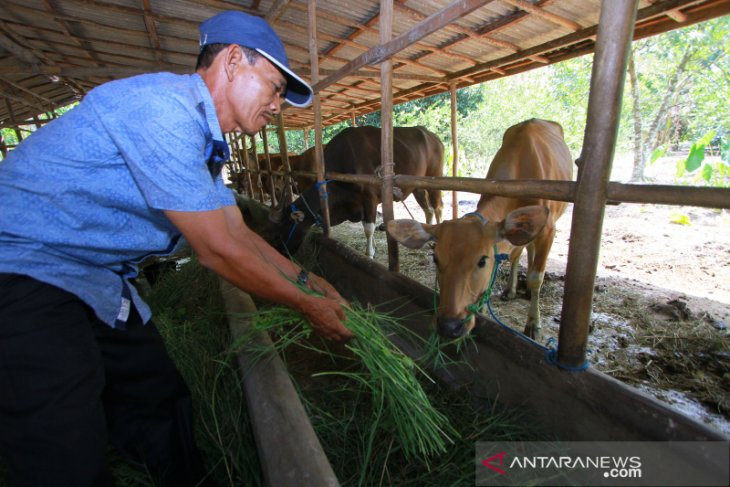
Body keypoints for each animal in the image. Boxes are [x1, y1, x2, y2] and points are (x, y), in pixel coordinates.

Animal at [270, 126, 444, 260]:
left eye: (280, 232)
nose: (278, 250)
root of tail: (432, 135)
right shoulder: (358, 204)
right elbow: (365, 224)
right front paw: (373, 249)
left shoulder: (369, 198)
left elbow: (368, 228)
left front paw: (369, 254)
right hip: (417, 187)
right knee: (428, 210)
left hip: (434, 180)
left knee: (437, 208)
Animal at [384, 119, 572, 340]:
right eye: (435, 258)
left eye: (482, 260)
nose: (449, 326)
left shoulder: (549, 230)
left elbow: (536, 278)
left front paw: (533, 324)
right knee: (520, 252)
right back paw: (511, 289)